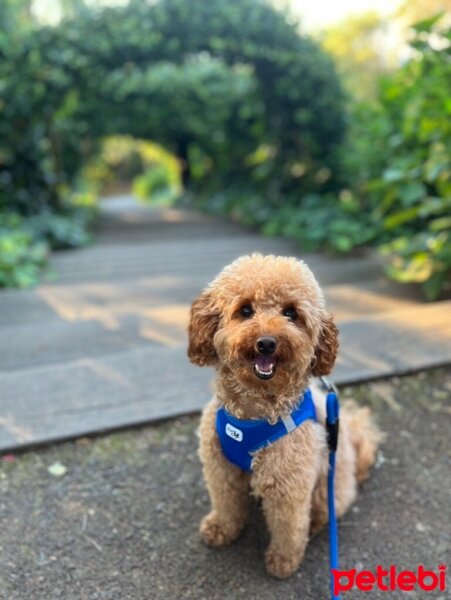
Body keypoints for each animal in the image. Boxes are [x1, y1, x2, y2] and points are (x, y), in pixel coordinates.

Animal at [187, 255, 382, 580]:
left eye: (291, 313)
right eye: (245, 310)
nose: (266, 342)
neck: (253, 413)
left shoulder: (288, 484)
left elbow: (289, 526)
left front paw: (283, 560)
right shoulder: (220, 467)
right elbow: (226, 502)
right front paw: (220, 529)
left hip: (328, 486)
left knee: (324, 511)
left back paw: (315, 525)